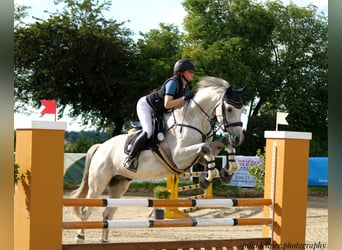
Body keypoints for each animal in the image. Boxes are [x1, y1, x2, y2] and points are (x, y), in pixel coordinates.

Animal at [71, 75, 244, 241]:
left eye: (242, 110)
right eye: (229, 109)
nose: (238, 138)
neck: (194, 119)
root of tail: (101, 147)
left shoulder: (194, 158)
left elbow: (220, 145)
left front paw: (227, 172)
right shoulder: (179, 157)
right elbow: (206, 148)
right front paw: (210, 176)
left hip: (119, 185)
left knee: (108, 213)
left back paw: (104, 241)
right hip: (98, 183)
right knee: (86, 210)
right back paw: (80, 237)